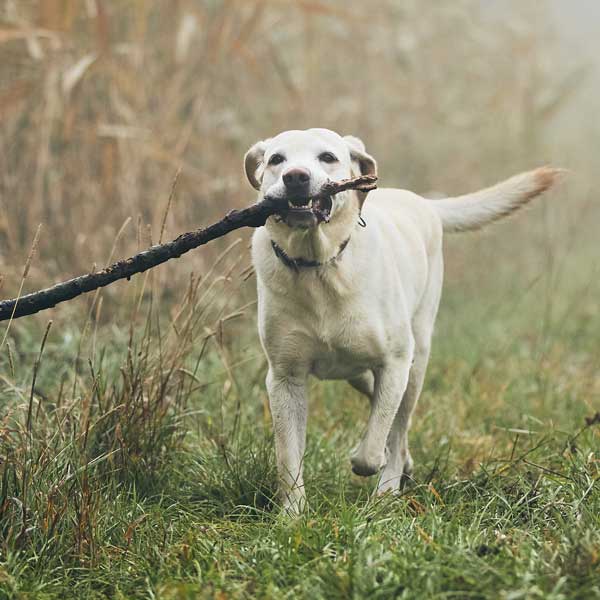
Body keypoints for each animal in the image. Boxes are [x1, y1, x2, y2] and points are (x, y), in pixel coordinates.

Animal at [244, 129, 564, 512]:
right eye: (276, 160)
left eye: (328, 157)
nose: (295, 177)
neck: (320, 267)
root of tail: (423, 202)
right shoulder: (285, 378)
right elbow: (288, 456)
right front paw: (293, 515)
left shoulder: (395, 362)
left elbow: (374, 447)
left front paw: (373, 465)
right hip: (359, 372)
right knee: (380, 403)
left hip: (416, 359)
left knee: (397, 424)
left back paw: (387, 490)